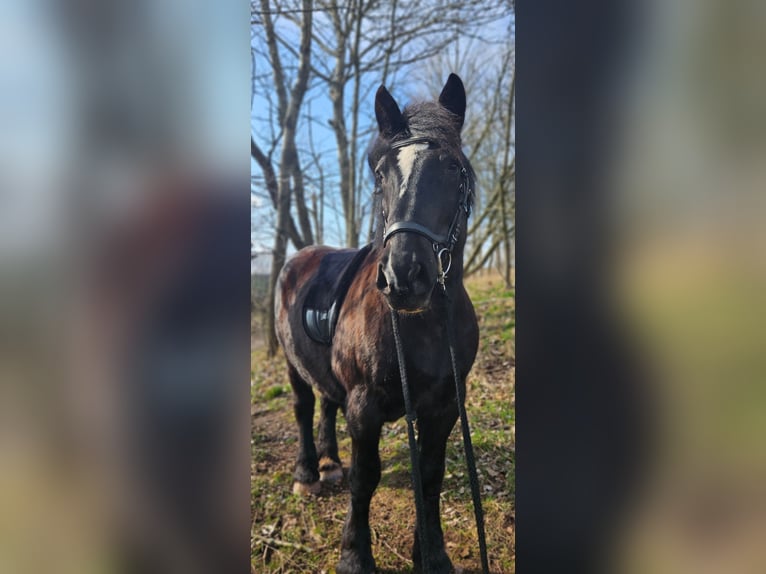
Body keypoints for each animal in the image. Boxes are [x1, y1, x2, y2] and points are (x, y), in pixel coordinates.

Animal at [276, 74, 480, 572]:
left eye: (453, 168)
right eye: (381, 173)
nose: (404, 276)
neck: (422, 329)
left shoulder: (446, 406)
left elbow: (430, 476)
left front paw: (432, 554)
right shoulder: (364, 407)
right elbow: (366, 478)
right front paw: (354, 555)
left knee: (326, 402)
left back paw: (330, 463)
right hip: (292, 366)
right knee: (304, 406)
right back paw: (309, 472)